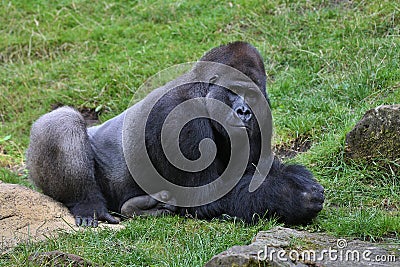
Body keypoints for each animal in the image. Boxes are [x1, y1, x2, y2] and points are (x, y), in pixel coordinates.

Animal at [25, 40, 324, 227]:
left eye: (251, 95)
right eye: (234, 91)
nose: (244, 111)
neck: (200, 90)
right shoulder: (179, 117)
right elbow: (206, 196)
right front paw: (293, 195)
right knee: (63, 122)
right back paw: (89, 205)